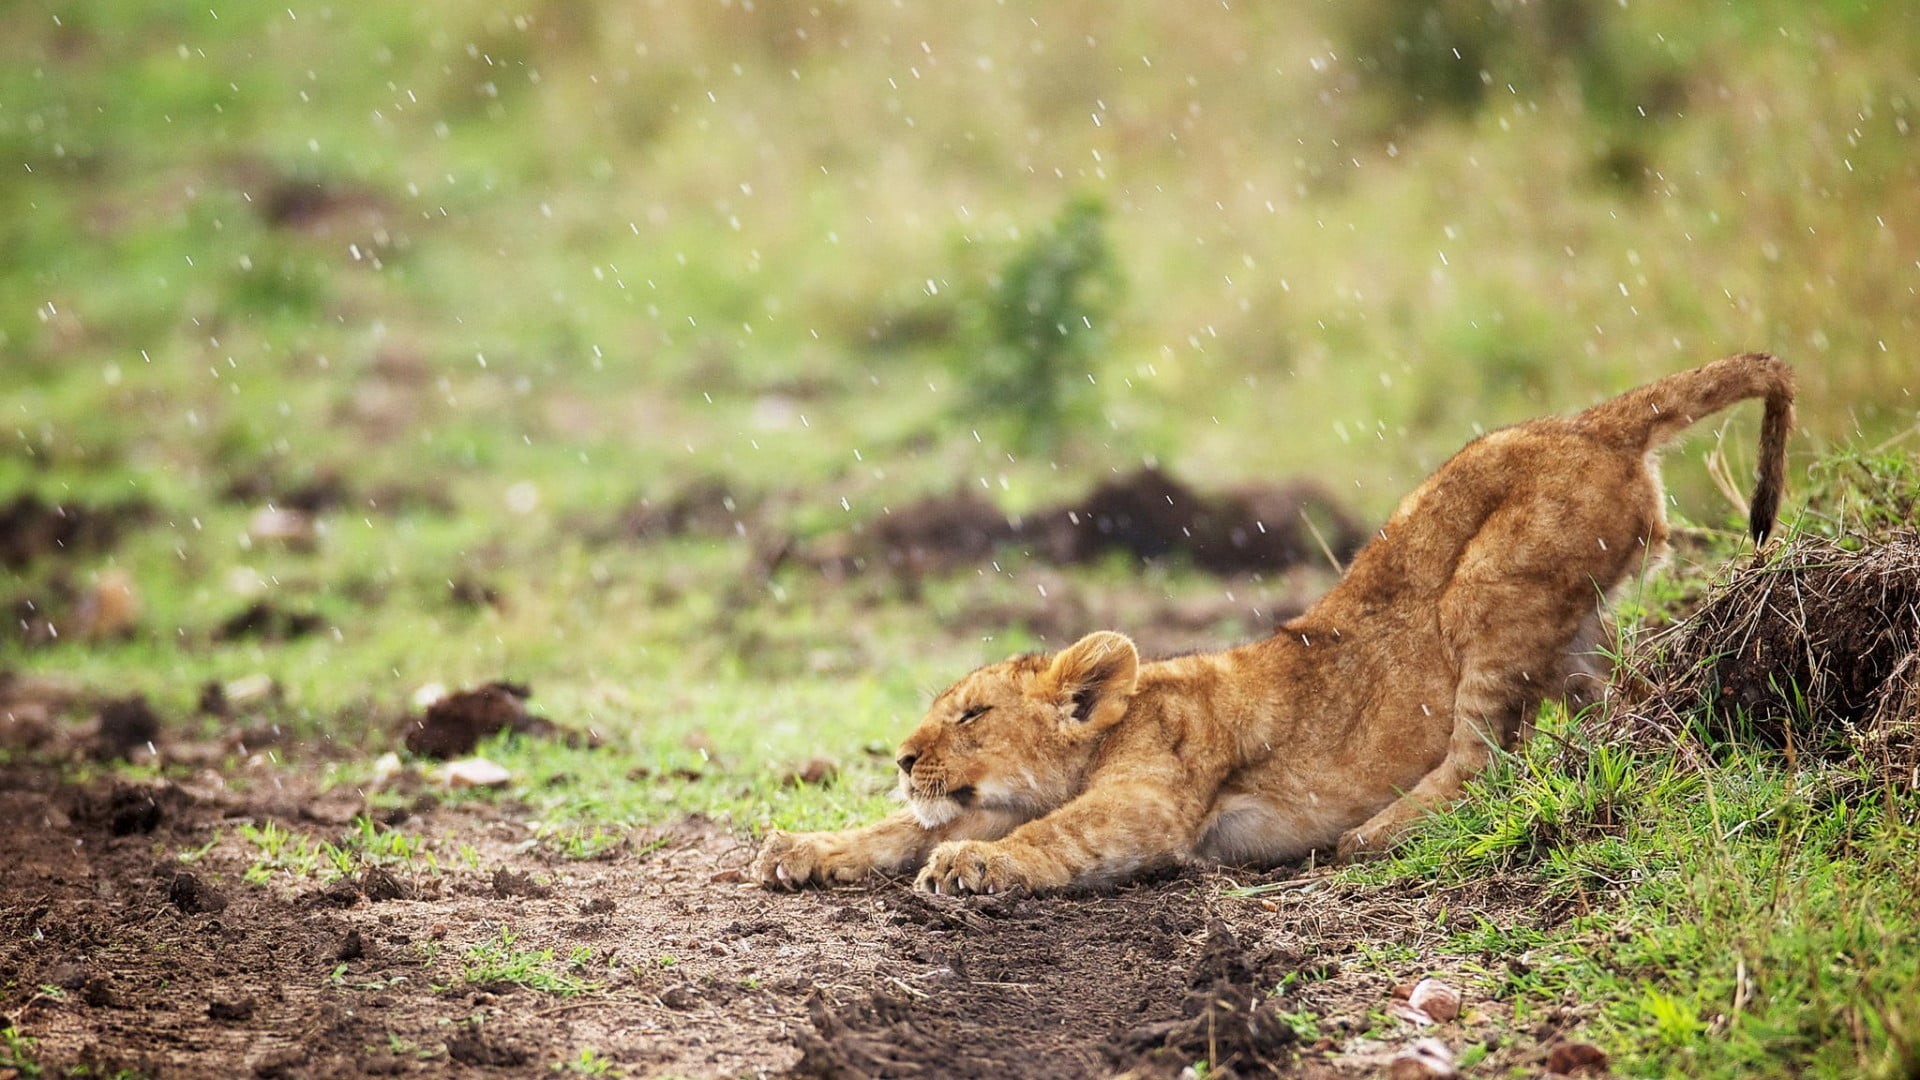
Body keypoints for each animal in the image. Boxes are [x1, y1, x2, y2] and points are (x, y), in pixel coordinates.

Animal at [756, 353, 1794, 894]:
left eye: (970, 716)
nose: (900, 757)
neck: (1114, 729)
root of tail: (1593, 422)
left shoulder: (1154, 804)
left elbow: (1050, 837)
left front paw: (972, 862)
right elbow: (894, 832)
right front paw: (803, 848)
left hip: (1490, 587)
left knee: (1482, 752)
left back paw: (1373, 837)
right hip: (1576, 631)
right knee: (1621, 704)